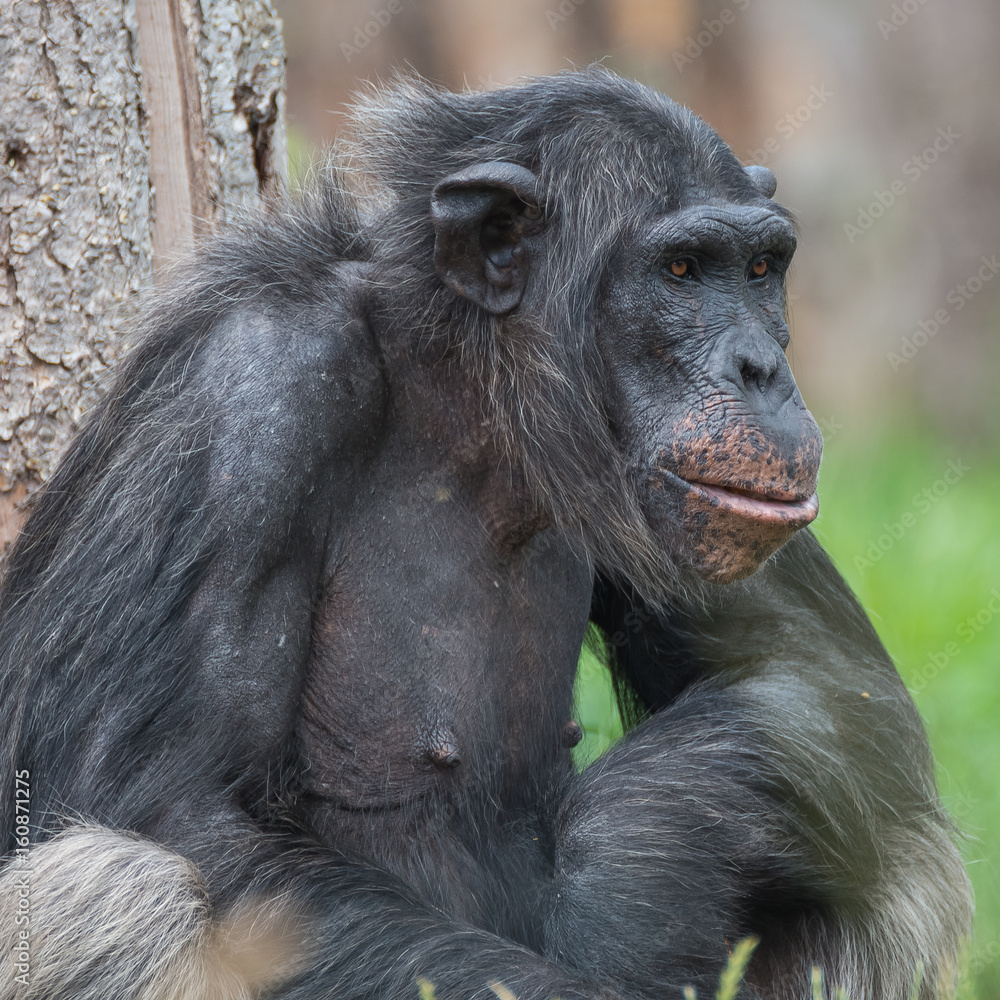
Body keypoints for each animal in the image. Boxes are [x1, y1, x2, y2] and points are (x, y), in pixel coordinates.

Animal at [0, 70, 972, 1000]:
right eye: (683, 270)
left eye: (762, 267)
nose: (762, 366)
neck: (465, 402)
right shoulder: (246, 397)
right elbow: (178, 808)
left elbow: (819, 667)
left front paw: (638, 861)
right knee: (125, 889)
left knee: (897, 852)